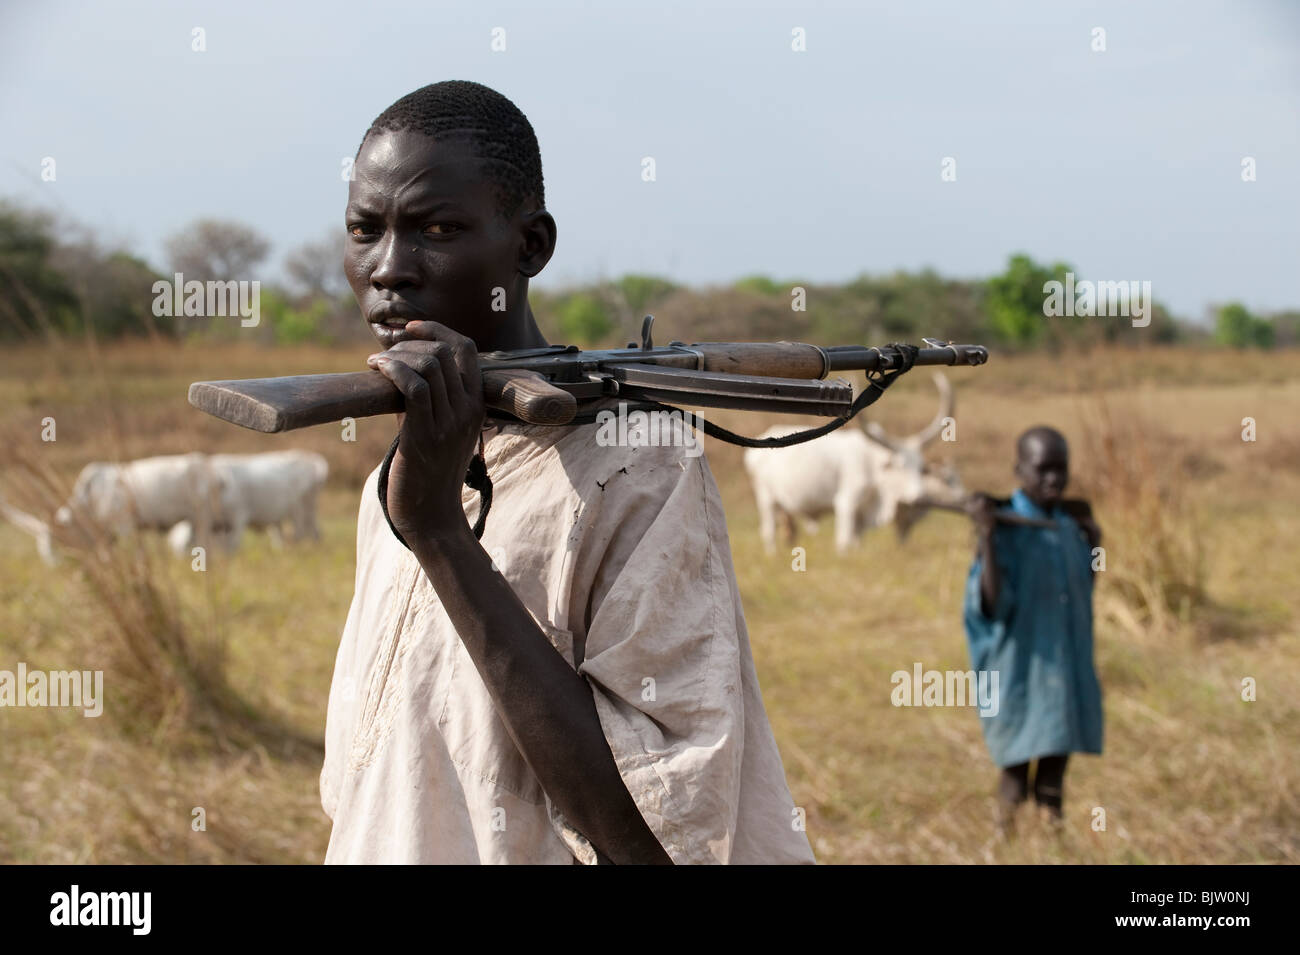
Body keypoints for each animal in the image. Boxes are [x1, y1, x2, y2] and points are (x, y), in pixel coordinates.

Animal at [743, 371, 967, 553]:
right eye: (898, 465)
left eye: (921, 467)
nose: (917, 497)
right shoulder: (847, 504)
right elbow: (845, 542)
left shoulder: (863, 516)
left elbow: (858, 542)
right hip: (766, 498)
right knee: (768, 532)